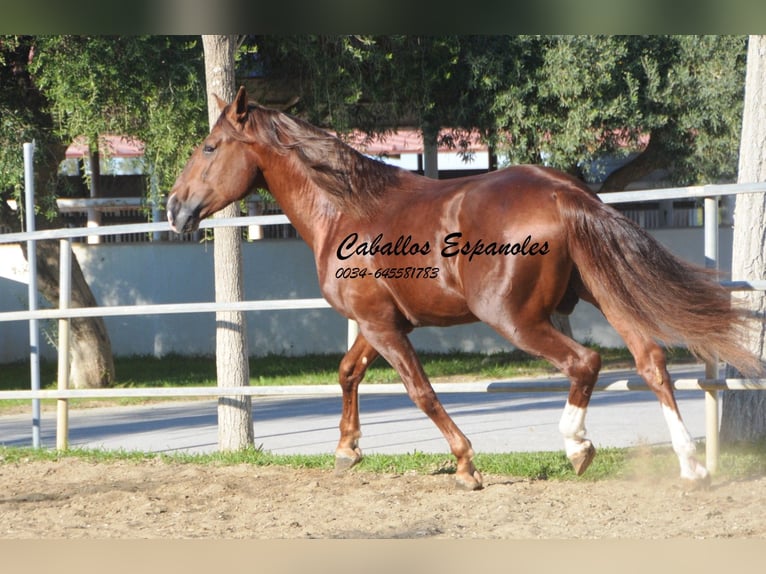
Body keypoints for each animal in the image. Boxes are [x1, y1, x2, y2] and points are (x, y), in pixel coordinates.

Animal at [168, 88, 760, 492]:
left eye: (210, 146)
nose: (175, 209)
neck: (344, 211)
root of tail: (563, 192)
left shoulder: (382, 325)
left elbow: (420, 391)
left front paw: (465, 465)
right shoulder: (382, 322)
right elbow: (348, 372)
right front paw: (346, 451)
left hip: (514, 318)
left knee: (585, 363)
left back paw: (578, 447)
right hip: (602, 293)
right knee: (651, 360)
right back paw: (691, 467)